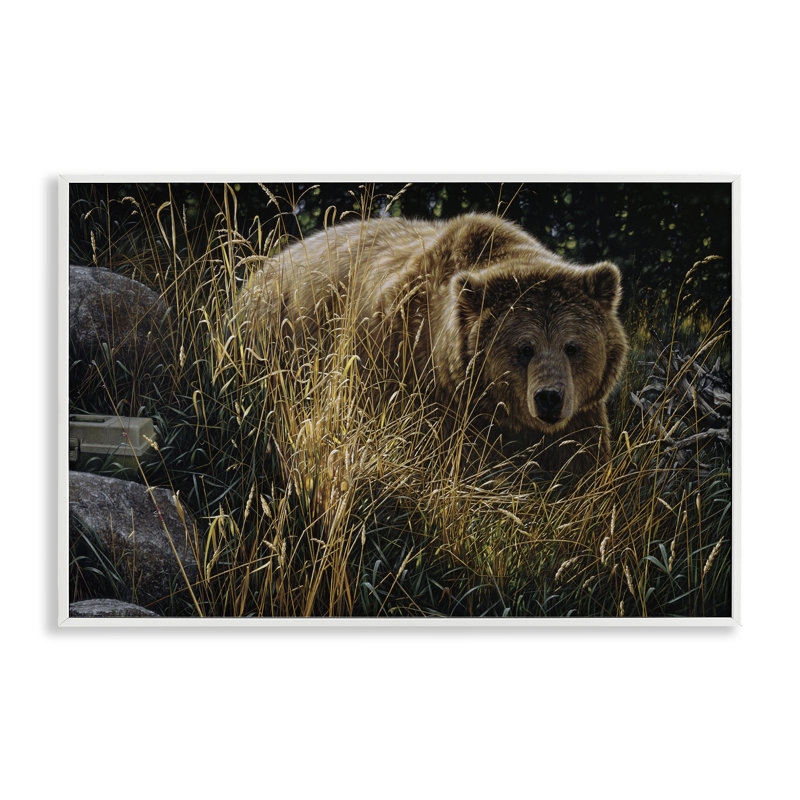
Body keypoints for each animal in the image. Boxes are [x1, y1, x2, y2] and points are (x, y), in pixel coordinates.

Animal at [234, 212, 628, 473]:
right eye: (524, 348)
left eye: (572, 346)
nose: (548, 398)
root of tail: (259, 271)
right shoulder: (409, 378)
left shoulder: (579, 418)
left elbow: (580, 468)